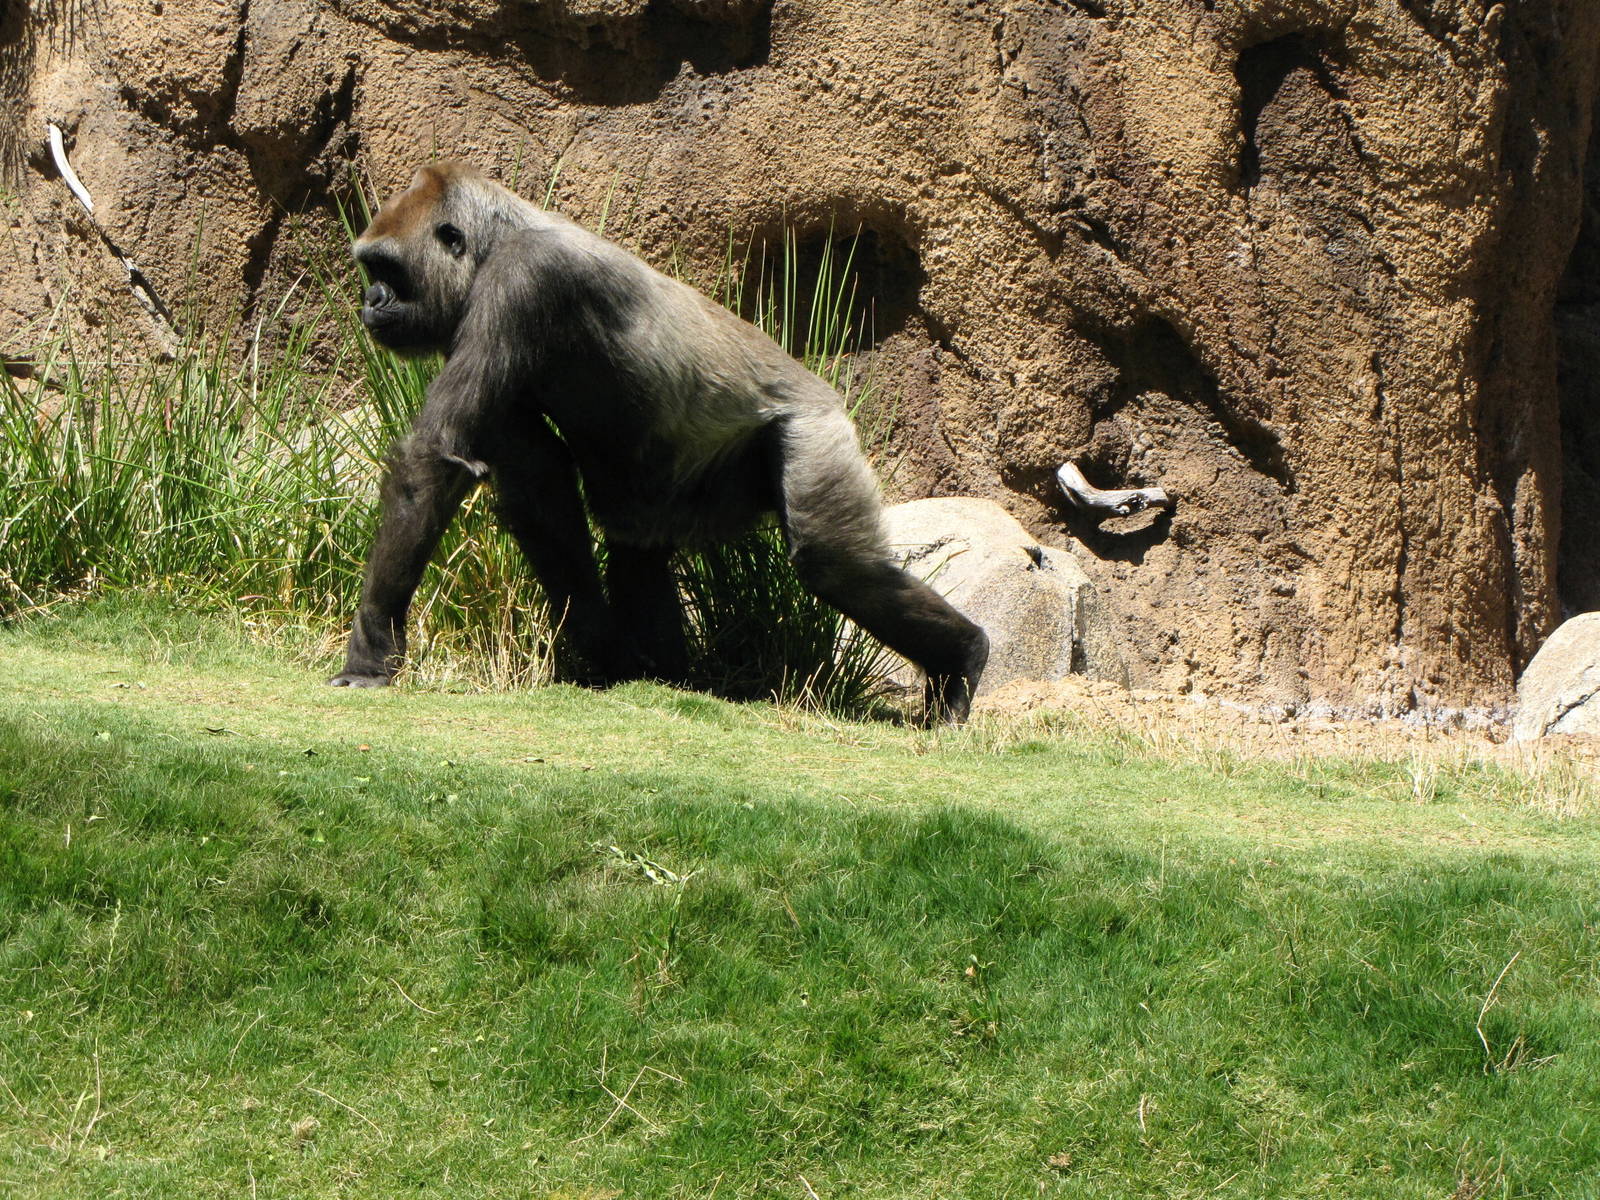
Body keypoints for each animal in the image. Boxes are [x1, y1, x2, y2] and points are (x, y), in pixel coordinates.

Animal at [328, 161, 988, 723]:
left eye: (386, 270)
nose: (370, 302)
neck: (496, 238)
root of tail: (829, 395)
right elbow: (540, 485)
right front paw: (601, 648)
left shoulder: (525, 282)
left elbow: (433, 461)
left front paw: (372, 645)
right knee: (639, 546)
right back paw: (666, 673)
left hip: (816, 427)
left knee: (836, 564)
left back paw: (962, 660)